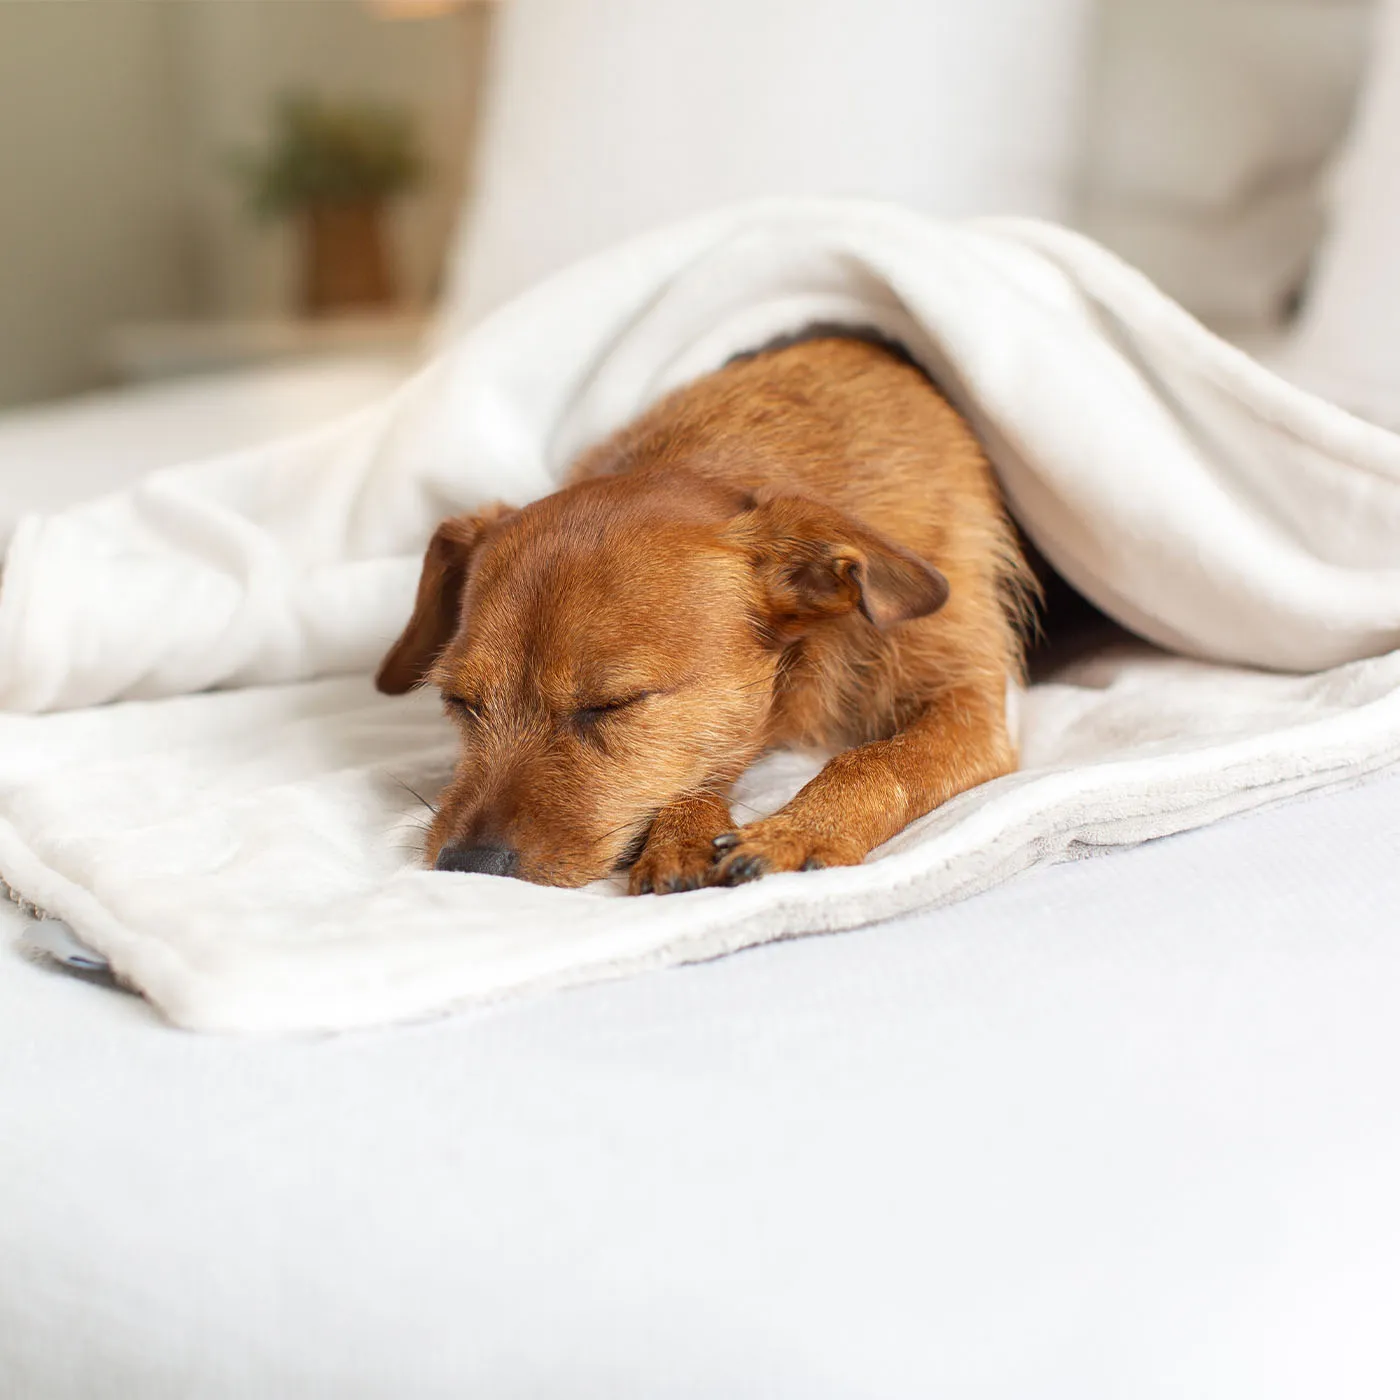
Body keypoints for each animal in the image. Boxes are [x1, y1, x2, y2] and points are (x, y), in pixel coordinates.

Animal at [378, 333, 1036, 890]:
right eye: (459, 701)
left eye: (613, 705)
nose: (467, 865)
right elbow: (703, 762)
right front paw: (682, 835)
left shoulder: (971, 703)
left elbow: (877, 762)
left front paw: (799, 830)